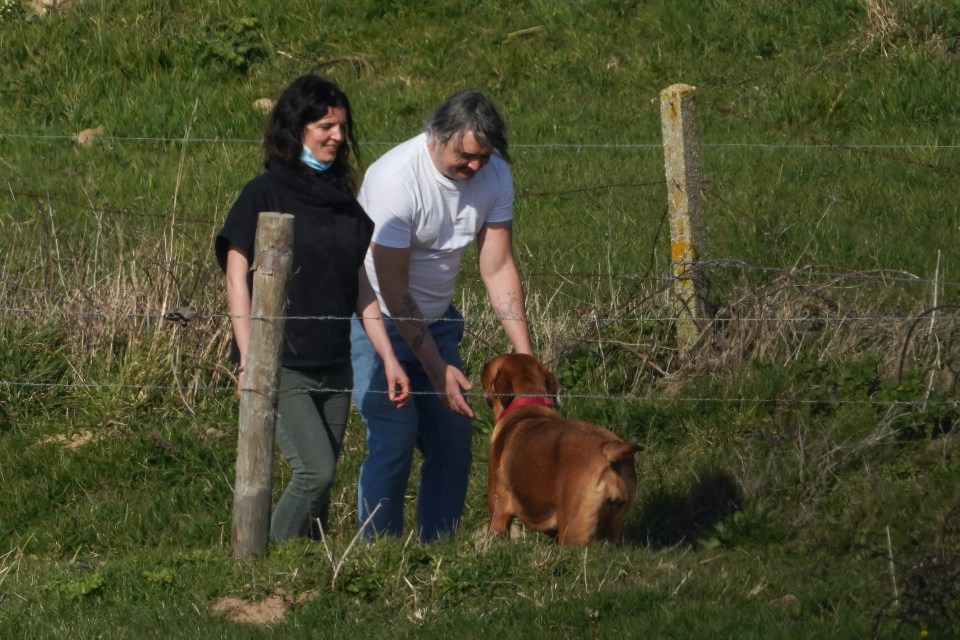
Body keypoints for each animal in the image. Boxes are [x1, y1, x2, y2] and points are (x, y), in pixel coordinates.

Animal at [480, 356, 644, 544]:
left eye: (488, 368)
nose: (483, 366)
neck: (528, 401)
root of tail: (609, 450)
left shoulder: (498, 513)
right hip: (611, 529)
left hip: (573, 530)